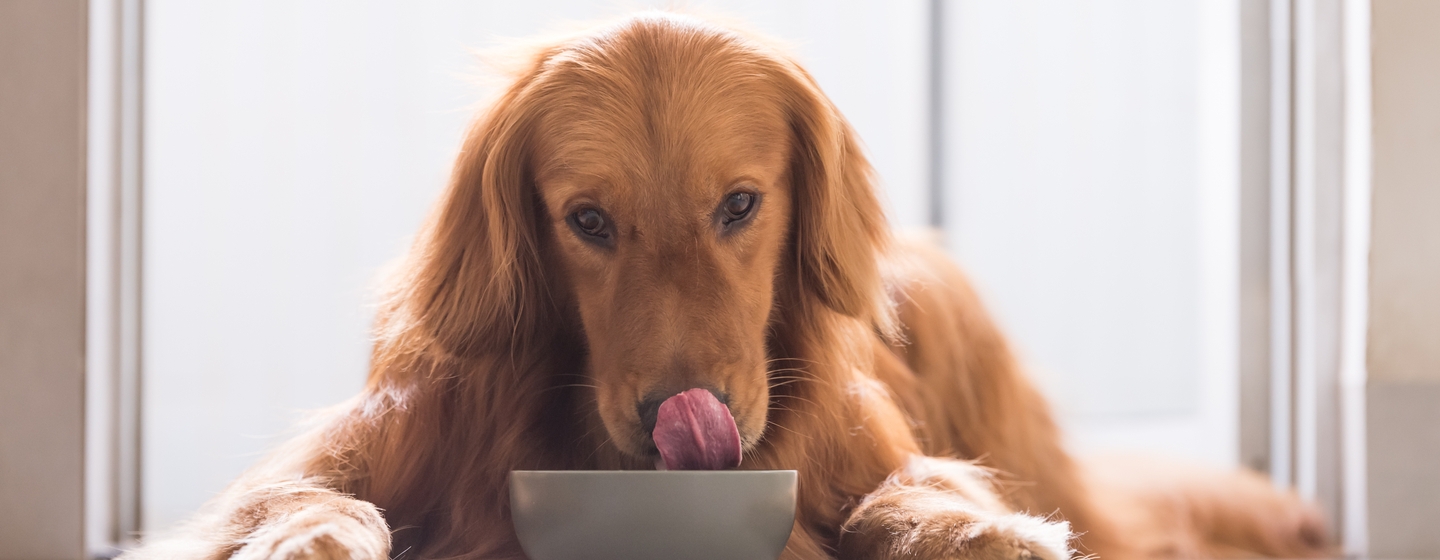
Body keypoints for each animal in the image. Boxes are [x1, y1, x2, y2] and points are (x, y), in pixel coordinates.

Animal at [129, 13, 1330, 558]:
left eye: (741, 205)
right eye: (588, 221)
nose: (684, 416)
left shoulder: (865, 454)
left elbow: (915, 494)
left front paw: (979, 532)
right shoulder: (368, 444)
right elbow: (301, 499)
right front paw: (311, 540)